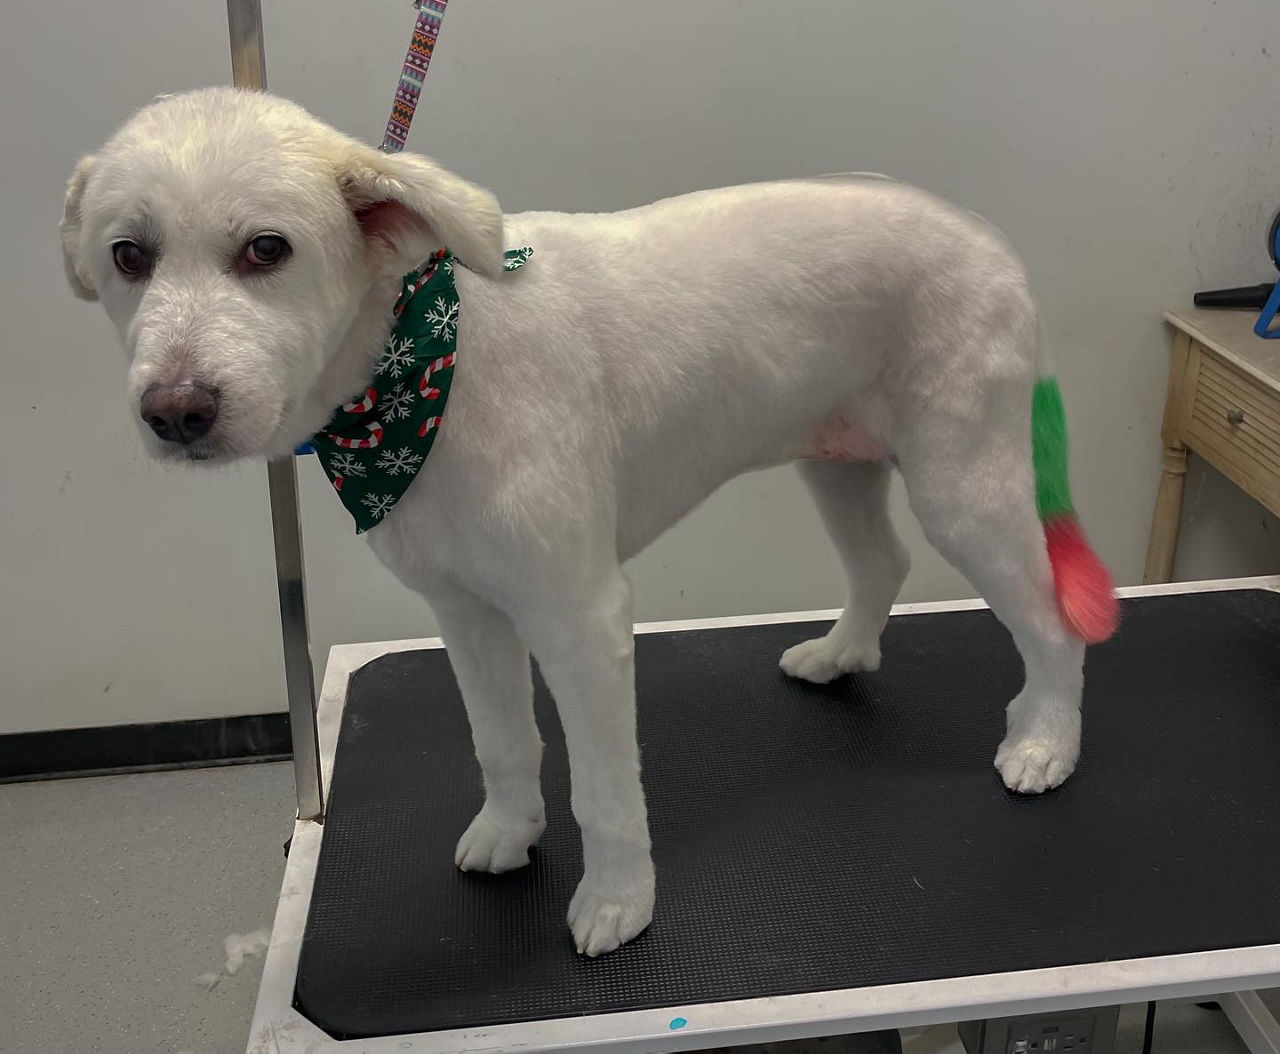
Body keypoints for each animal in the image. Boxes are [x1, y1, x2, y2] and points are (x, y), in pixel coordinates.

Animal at [64, 88, 1116, 957]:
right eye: (128, 256)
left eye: (267, 250)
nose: (176, 410)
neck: (427, 366)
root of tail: (985, 235)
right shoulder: (466, 611)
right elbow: (503, 741)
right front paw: (510, 831)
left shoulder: (580, 618)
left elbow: (606, 790)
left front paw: (617, 902)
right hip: (837, 460)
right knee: (883, 563)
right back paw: (843, 653)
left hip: (962, 482)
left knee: (1051, 620)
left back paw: (1046, 740)